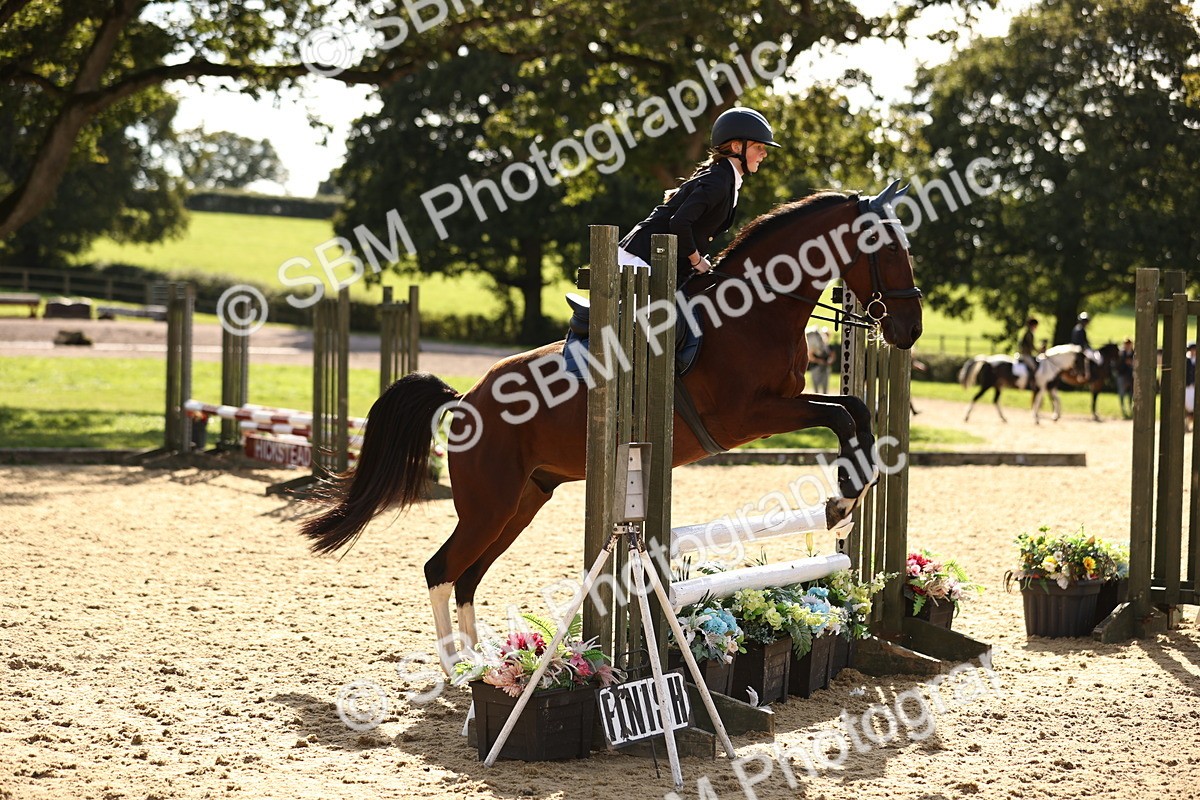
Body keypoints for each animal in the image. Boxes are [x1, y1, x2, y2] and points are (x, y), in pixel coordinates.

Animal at [299, 183, 924, 672]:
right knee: (442, 568)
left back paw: (482, 662)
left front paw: (848, 495)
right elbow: (839, 414)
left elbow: (854, 408)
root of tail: (465, 400)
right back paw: (456, 669)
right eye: (886, 249)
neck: (756, 308)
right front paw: (843, 497)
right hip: (489, 504)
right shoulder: (750, 415)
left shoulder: (785, 401)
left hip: (523, 502)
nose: (911, 329)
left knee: (470, 575)